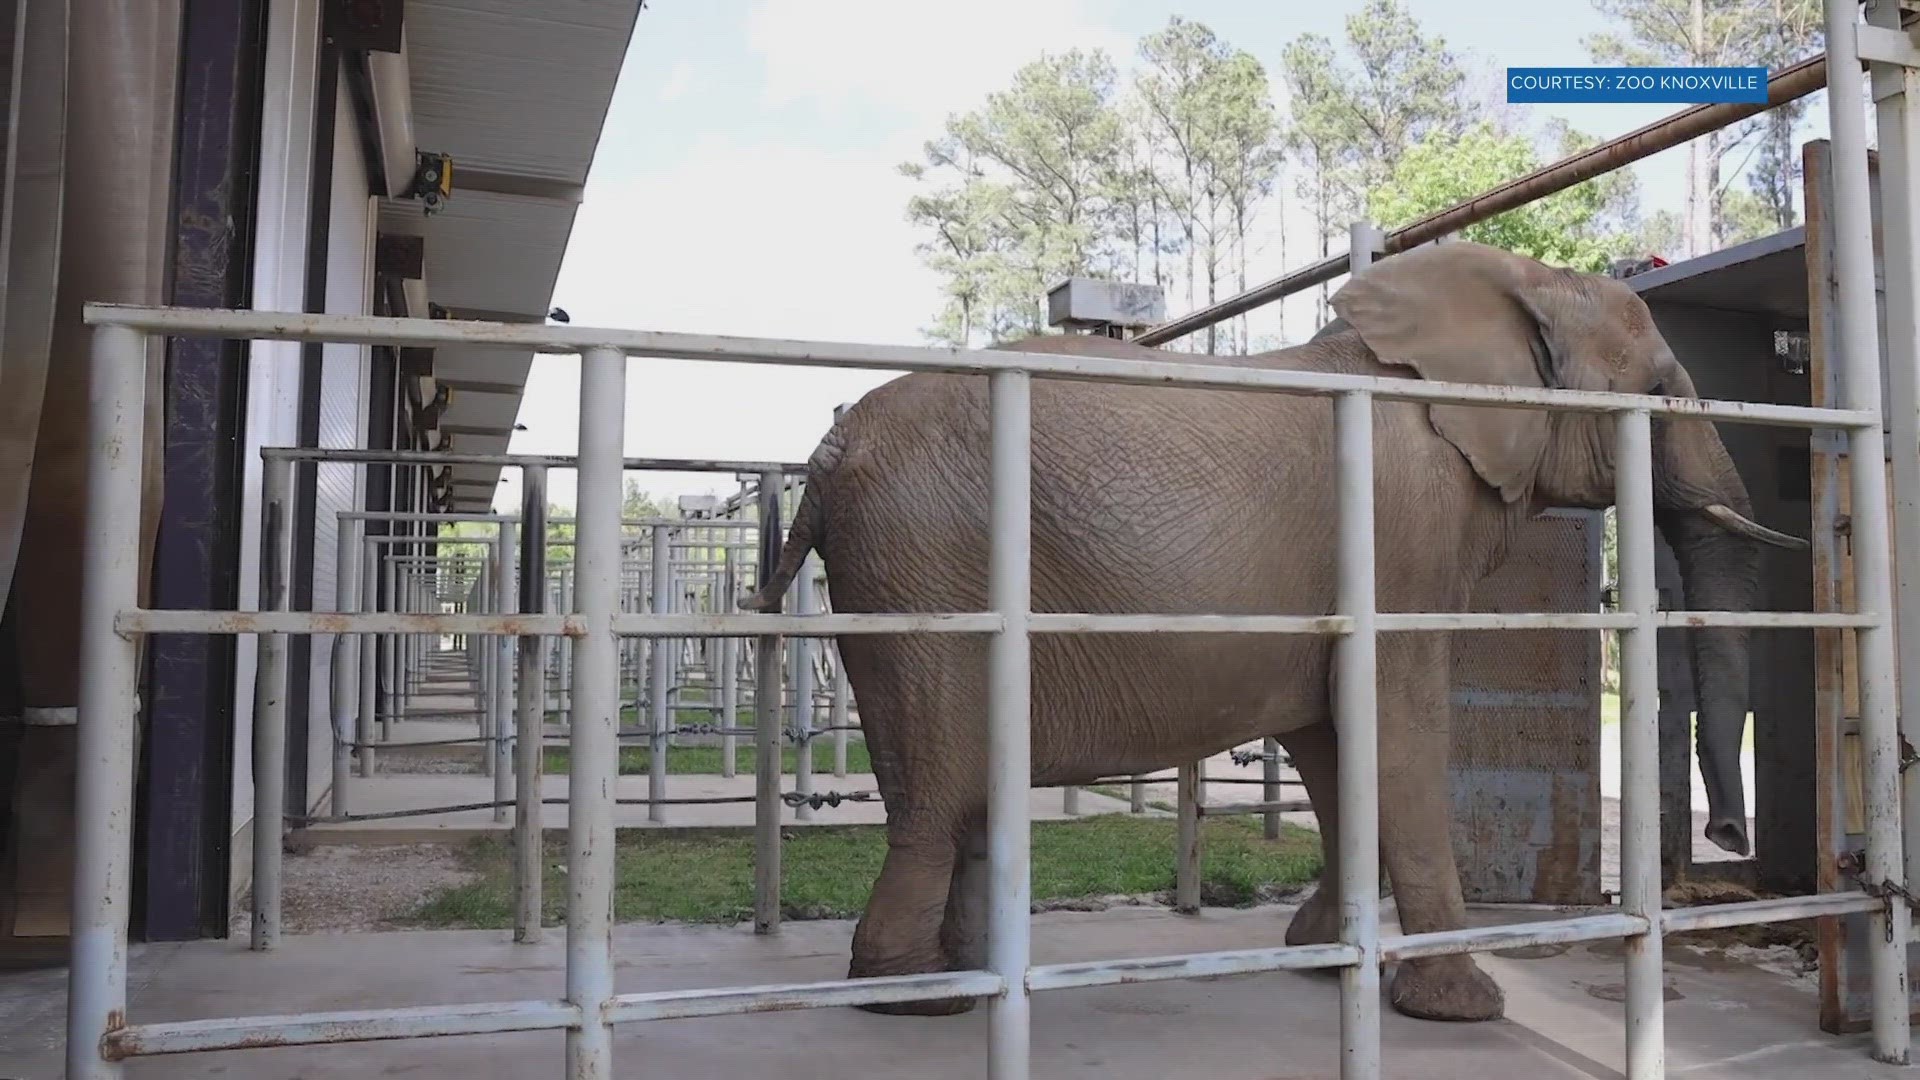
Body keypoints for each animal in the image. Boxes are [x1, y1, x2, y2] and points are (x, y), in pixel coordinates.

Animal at [737, 242, 1797, 1014]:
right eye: (1658, 394)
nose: (1731, 835)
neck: (1515, 284)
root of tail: (828, 448)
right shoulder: (1400, 537)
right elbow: (1399, 728)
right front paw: (1462, 1007)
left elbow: (1336, 743)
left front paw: (1323, 958)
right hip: (928, 571)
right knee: (937, 793)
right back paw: (919, 1001)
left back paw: (960, 983)